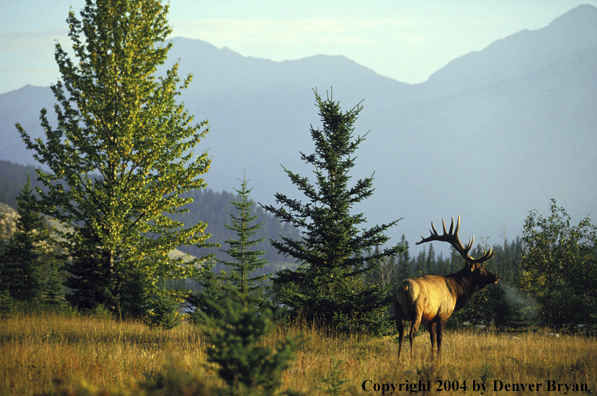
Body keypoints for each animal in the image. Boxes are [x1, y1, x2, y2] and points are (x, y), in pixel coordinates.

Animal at [392, 217, 498, 358]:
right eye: (480, 270)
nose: (496, 276)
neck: (456, 292)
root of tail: (405, 288)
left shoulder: (431, 319)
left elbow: (432, 338)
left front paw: (432, 357)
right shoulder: (443, 314)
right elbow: (440, 338)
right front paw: (439, 357)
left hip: (398, 311)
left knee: (401, 334)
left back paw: (398, 358)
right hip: (417, 311)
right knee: (412, 333)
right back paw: (411, 356)